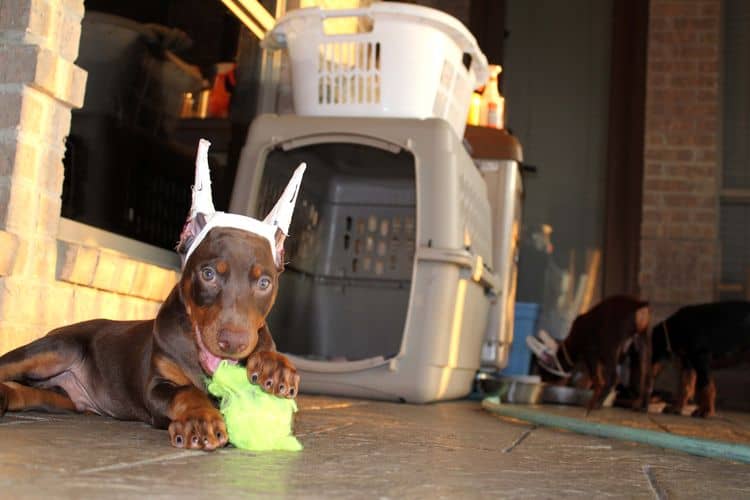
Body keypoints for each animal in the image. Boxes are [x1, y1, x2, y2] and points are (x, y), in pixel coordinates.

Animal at [1, 143, 306, 452]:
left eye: (264, 282)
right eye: (208, 274)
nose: (233, 343)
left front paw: (274, 365)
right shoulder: (156, 387)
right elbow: (186, 391)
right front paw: (199, 420)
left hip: (58, 398)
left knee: (20, 392)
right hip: (58, 348)